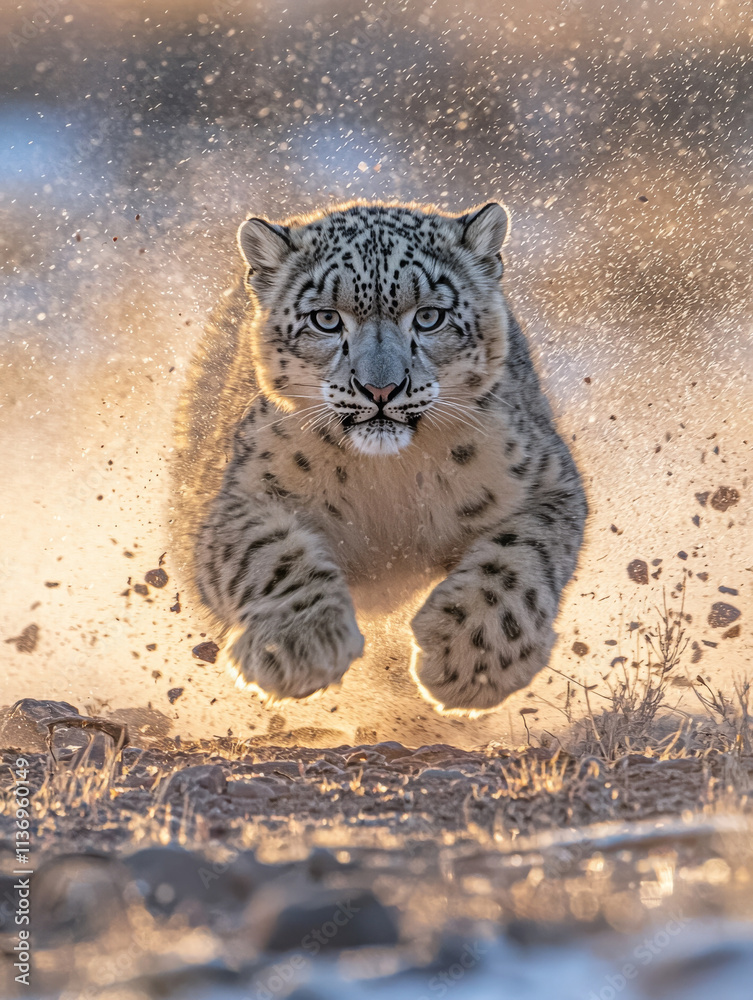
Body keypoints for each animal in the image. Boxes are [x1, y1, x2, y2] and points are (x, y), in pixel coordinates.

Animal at [173, 200, 587, 712]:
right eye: (326, 319)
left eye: (428, 317)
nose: (381, 389)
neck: (389, 476)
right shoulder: (240, 497)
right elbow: (269, 552)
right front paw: (298, 644)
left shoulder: (547, 483)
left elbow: (518, 557)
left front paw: (472, 656)